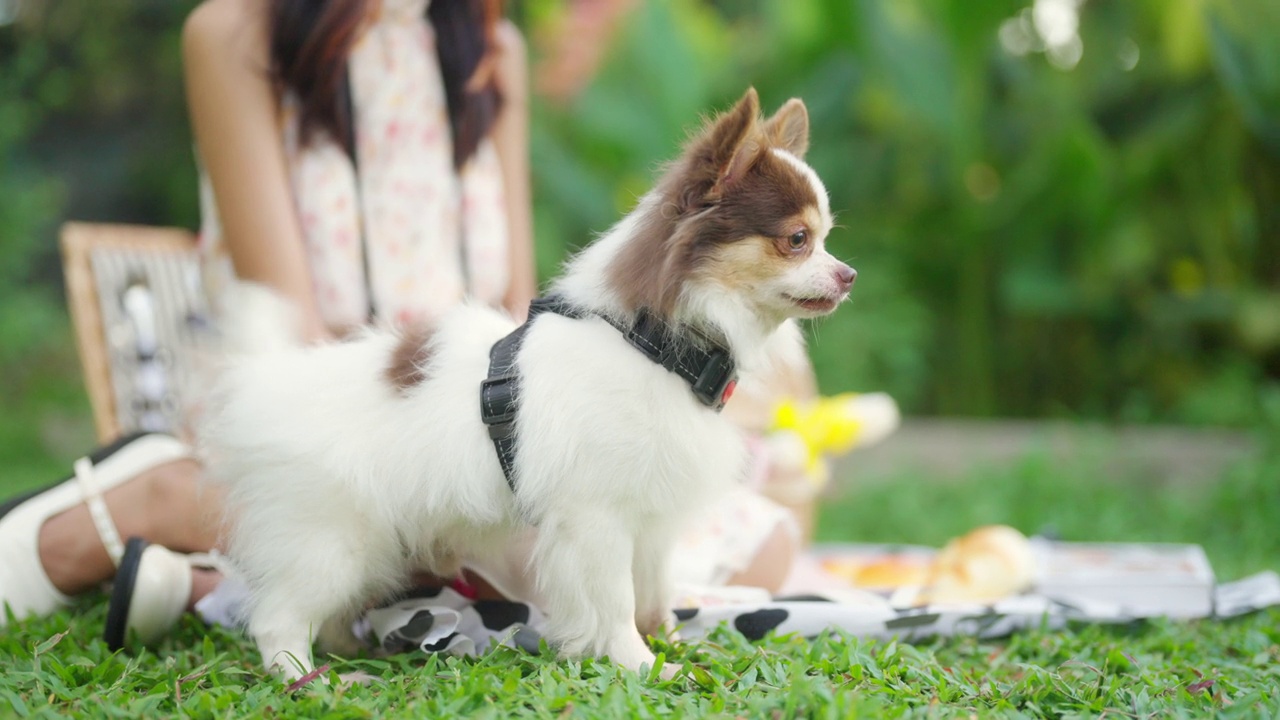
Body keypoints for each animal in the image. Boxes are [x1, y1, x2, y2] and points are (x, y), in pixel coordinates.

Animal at [204, 87, 855, 676]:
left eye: (826, 240)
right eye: (797, 240)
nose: (849, 274)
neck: (656, 348)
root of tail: (264, 376)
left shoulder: (649, 517)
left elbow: (653, 590)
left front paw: (675, 646)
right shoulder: (595, 516)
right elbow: (615, 600)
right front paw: (640, 665)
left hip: (369, 543)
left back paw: (350, 653)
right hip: (329, 540)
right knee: (279, 617)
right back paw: (303, 678)